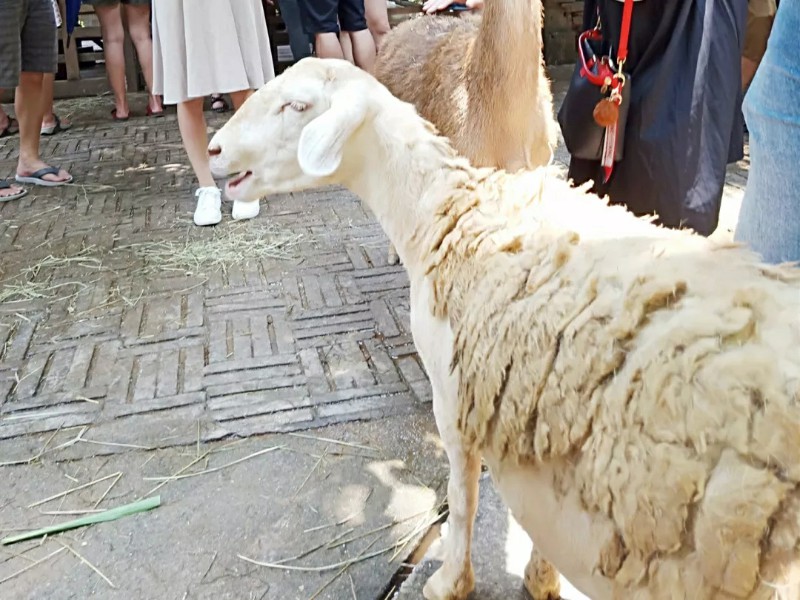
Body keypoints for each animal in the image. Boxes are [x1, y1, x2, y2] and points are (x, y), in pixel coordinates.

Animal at [208, 58, 800, 600]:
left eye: (297, 105)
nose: (213, 150)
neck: (446, 211)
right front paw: (541, 577)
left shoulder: (452, 396)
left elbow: (463, 499)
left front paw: (450, 581)